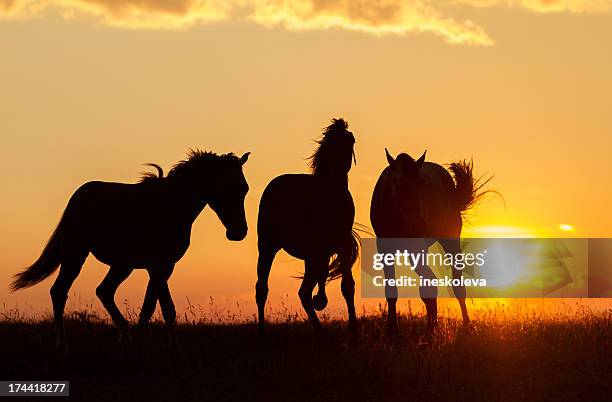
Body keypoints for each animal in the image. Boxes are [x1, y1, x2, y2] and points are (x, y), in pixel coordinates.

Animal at [10, 150, 249, 348]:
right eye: (225, 186)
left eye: (244, 189)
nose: (238, 232)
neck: (172, 204)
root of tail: (78, 197)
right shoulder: (160, 265)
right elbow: (158, 308)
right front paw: (161, 344)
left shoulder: (161, 267)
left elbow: (158, 307)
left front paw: (162, 343)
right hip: (77, 253)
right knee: (61, 291)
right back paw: (63, 344)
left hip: (121, 265)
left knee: (103, 291)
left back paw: (125, 335)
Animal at [256, 118, 360, 336]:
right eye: (329, 143)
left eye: (350, 141)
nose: (339, 169)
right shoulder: (317, 250)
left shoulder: (341, 247)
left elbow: (347, 287)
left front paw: (354, 331)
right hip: (268, 247)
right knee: (263, 289)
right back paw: (263, 334)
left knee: (305, 290)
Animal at [370, 149, 490, 334]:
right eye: (397, 183)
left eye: (422, 184)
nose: (420, 224)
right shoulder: (384, 248)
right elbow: (391, 289)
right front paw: (392, 330)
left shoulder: (417, 248)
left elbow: (428, 287)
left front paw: (431, 330)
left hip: (450, 241)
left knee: (457, 284)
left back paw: (466, 325)